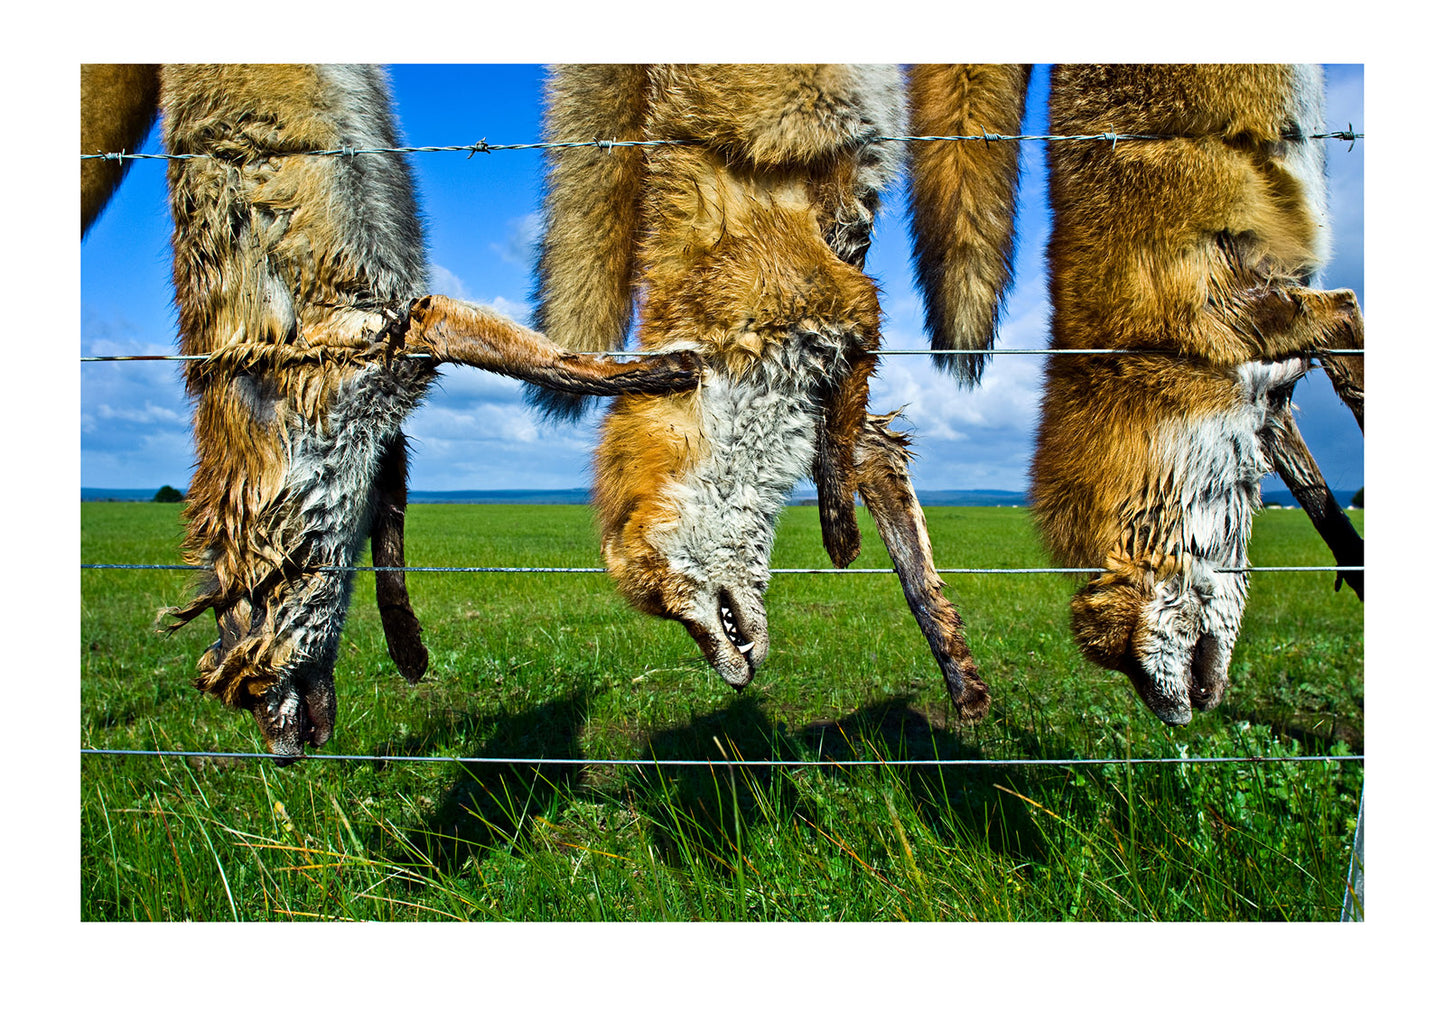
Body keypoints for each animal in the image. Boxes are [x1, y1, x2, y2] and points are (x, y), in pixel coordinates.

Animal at [81, 64, 700, 757]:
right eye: (238, 696)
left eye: (252, 681)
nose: (284, 757)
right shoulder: (381, 407)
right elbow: (391, 540)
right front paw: (408, 646)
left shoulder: (390, 341)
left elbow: (552, 363)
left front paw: (661, 369)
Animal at [531, 64, 1029, 718]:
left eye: (669, 605)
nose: (732, 681)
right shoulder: (852, 415)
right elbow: (912, 567)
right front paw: (963, 681)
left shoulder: (848, 311)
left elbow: (836, 468)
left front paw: (840, 539)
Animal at [1029, 64, 1365, 726]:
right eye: (1120, 671)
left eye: (1131, 658)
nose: (1174, 721)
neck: (1143, 358)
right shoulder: (1266, 396)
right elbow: (1319, 499)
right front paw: (1356, 560)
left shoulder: (1261, 313)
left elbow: (1352, 359)